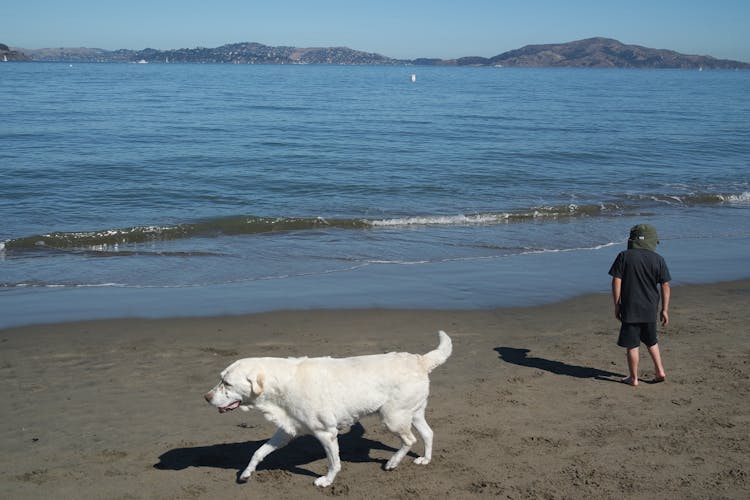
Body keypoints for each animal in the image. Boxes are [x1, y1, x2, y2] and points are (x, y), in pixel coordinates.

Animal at [204, 330, 452, 486]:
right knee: (428, 433)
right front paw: (246, 473)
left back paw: (392, 463)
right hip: (412, 413)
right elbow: (258, 452)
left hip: (392, 417)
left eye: (227, 383)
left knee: (410, 439)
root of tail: (419, 360)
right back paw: (425, 459)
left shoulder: (326, 433)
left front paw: (327, 481)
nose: (206, 397)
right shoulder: (286, 430)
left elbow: (334, 462)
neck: (281, 384)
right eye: (221, 379)